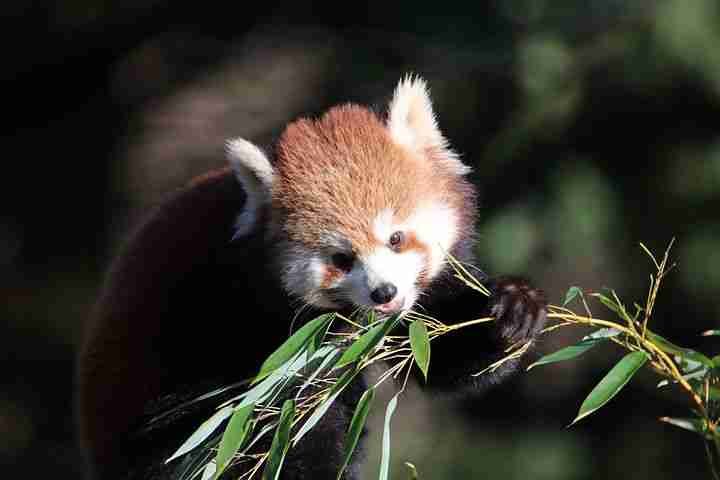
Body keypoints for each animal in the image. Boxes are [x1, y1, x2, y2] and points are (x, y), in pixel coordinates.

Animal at [77, 77, 544, 480]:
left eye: (395, 238)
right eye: (342, 258)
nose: (384, 292)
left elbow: (440, 350)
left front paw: (513, 310)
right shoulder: (241, 319)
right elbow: (280, 426)